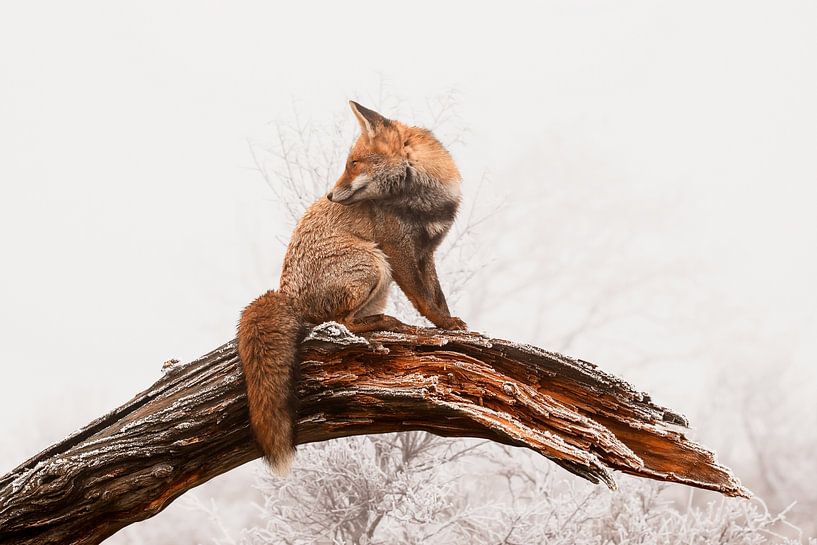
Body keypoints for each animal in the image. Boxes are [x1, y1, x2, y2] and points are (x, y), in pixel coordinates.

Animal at [237, 101, 467, 472]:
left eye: (353, 164)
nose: (330, 195)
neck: (421, 199)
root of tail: (285, 295)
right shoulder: (397, 250)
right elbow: (423, 300)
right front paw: (442, 325)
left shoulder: (427, 252)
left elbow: (438, 296)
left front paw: (451, 322)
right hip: (374, 262)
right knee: (341, 322)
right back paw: (390, 325)